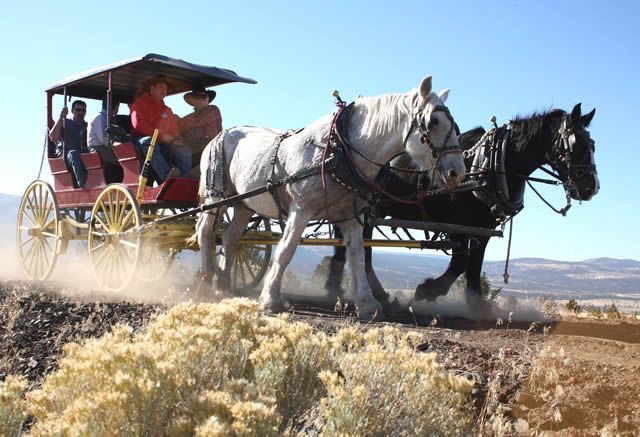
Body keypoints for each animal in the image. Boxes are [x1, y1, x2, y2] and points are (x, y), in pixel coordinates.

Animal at [194, 76, 464, 318]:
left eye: (455, 125)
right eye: (433, 121)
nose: (457, 172)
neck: (339, 150)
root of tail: (221, 135)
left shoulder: (350, 216)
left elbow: (357, 256)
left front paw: (367, 304)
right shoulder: (301, 209)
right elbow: (286, 250)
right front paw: (270, 299)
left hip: (242, 204)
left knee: (230, 239)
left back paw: (223, 285)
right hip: (216, 196)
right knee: (206, 231)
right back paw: (207, 280)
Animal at [324, 102, 600, 308]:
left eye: (593, 145)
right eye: (576, 144)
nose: (591, 187)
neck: (492, 163)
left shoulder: (483, 228)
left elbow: (474, 265)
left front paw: (479, 306)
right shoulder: (456, 224)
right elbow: (460, 263)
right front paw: (427, 290)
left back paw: (341, 290)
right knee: (360, 251)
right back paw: (354, 292)